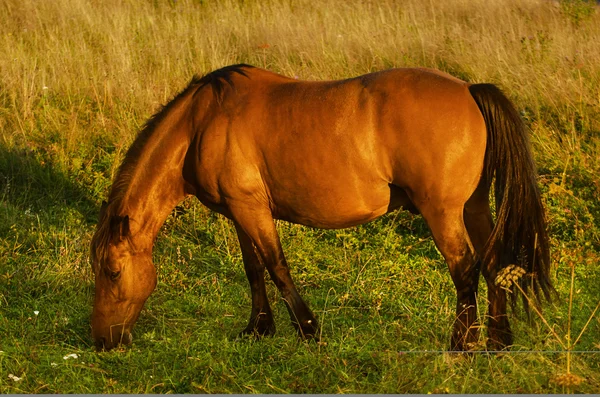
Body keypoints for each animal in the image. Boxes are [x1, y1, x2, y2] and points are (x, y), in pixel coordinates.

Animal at [89, 63, 552, 352]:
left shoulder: (252, 209)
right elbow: (253, 269)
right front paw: (258, 328)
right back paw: (497, 341)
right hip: (473, 208)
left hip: (443, 212)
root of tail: (469, 90)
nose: (102, 341)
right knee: (494, 263)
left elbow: (277, 267)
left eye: (112, 271)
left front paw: (308, 330)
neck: (201, 123)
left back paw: (461, 345)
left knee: (465, 269)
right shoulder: (239, 213)